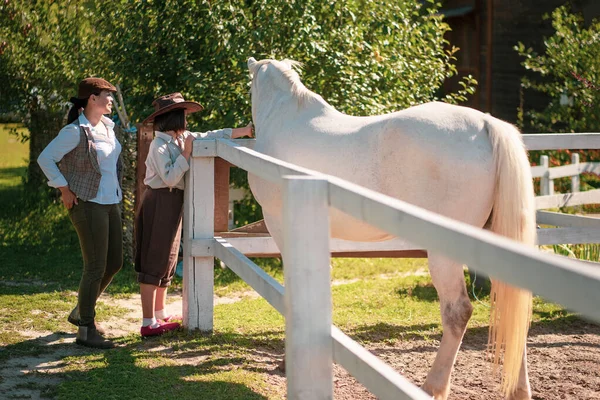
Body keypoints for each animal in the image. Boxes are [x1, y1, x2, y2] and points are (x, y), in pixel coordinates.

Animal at [246, 57, 536, 400]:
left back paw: (433, 386)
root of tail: (486, 125)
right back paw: (519, 389)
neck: (285, 119)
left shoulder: (280, 224)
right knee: (513, 309)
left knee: (458, 312)